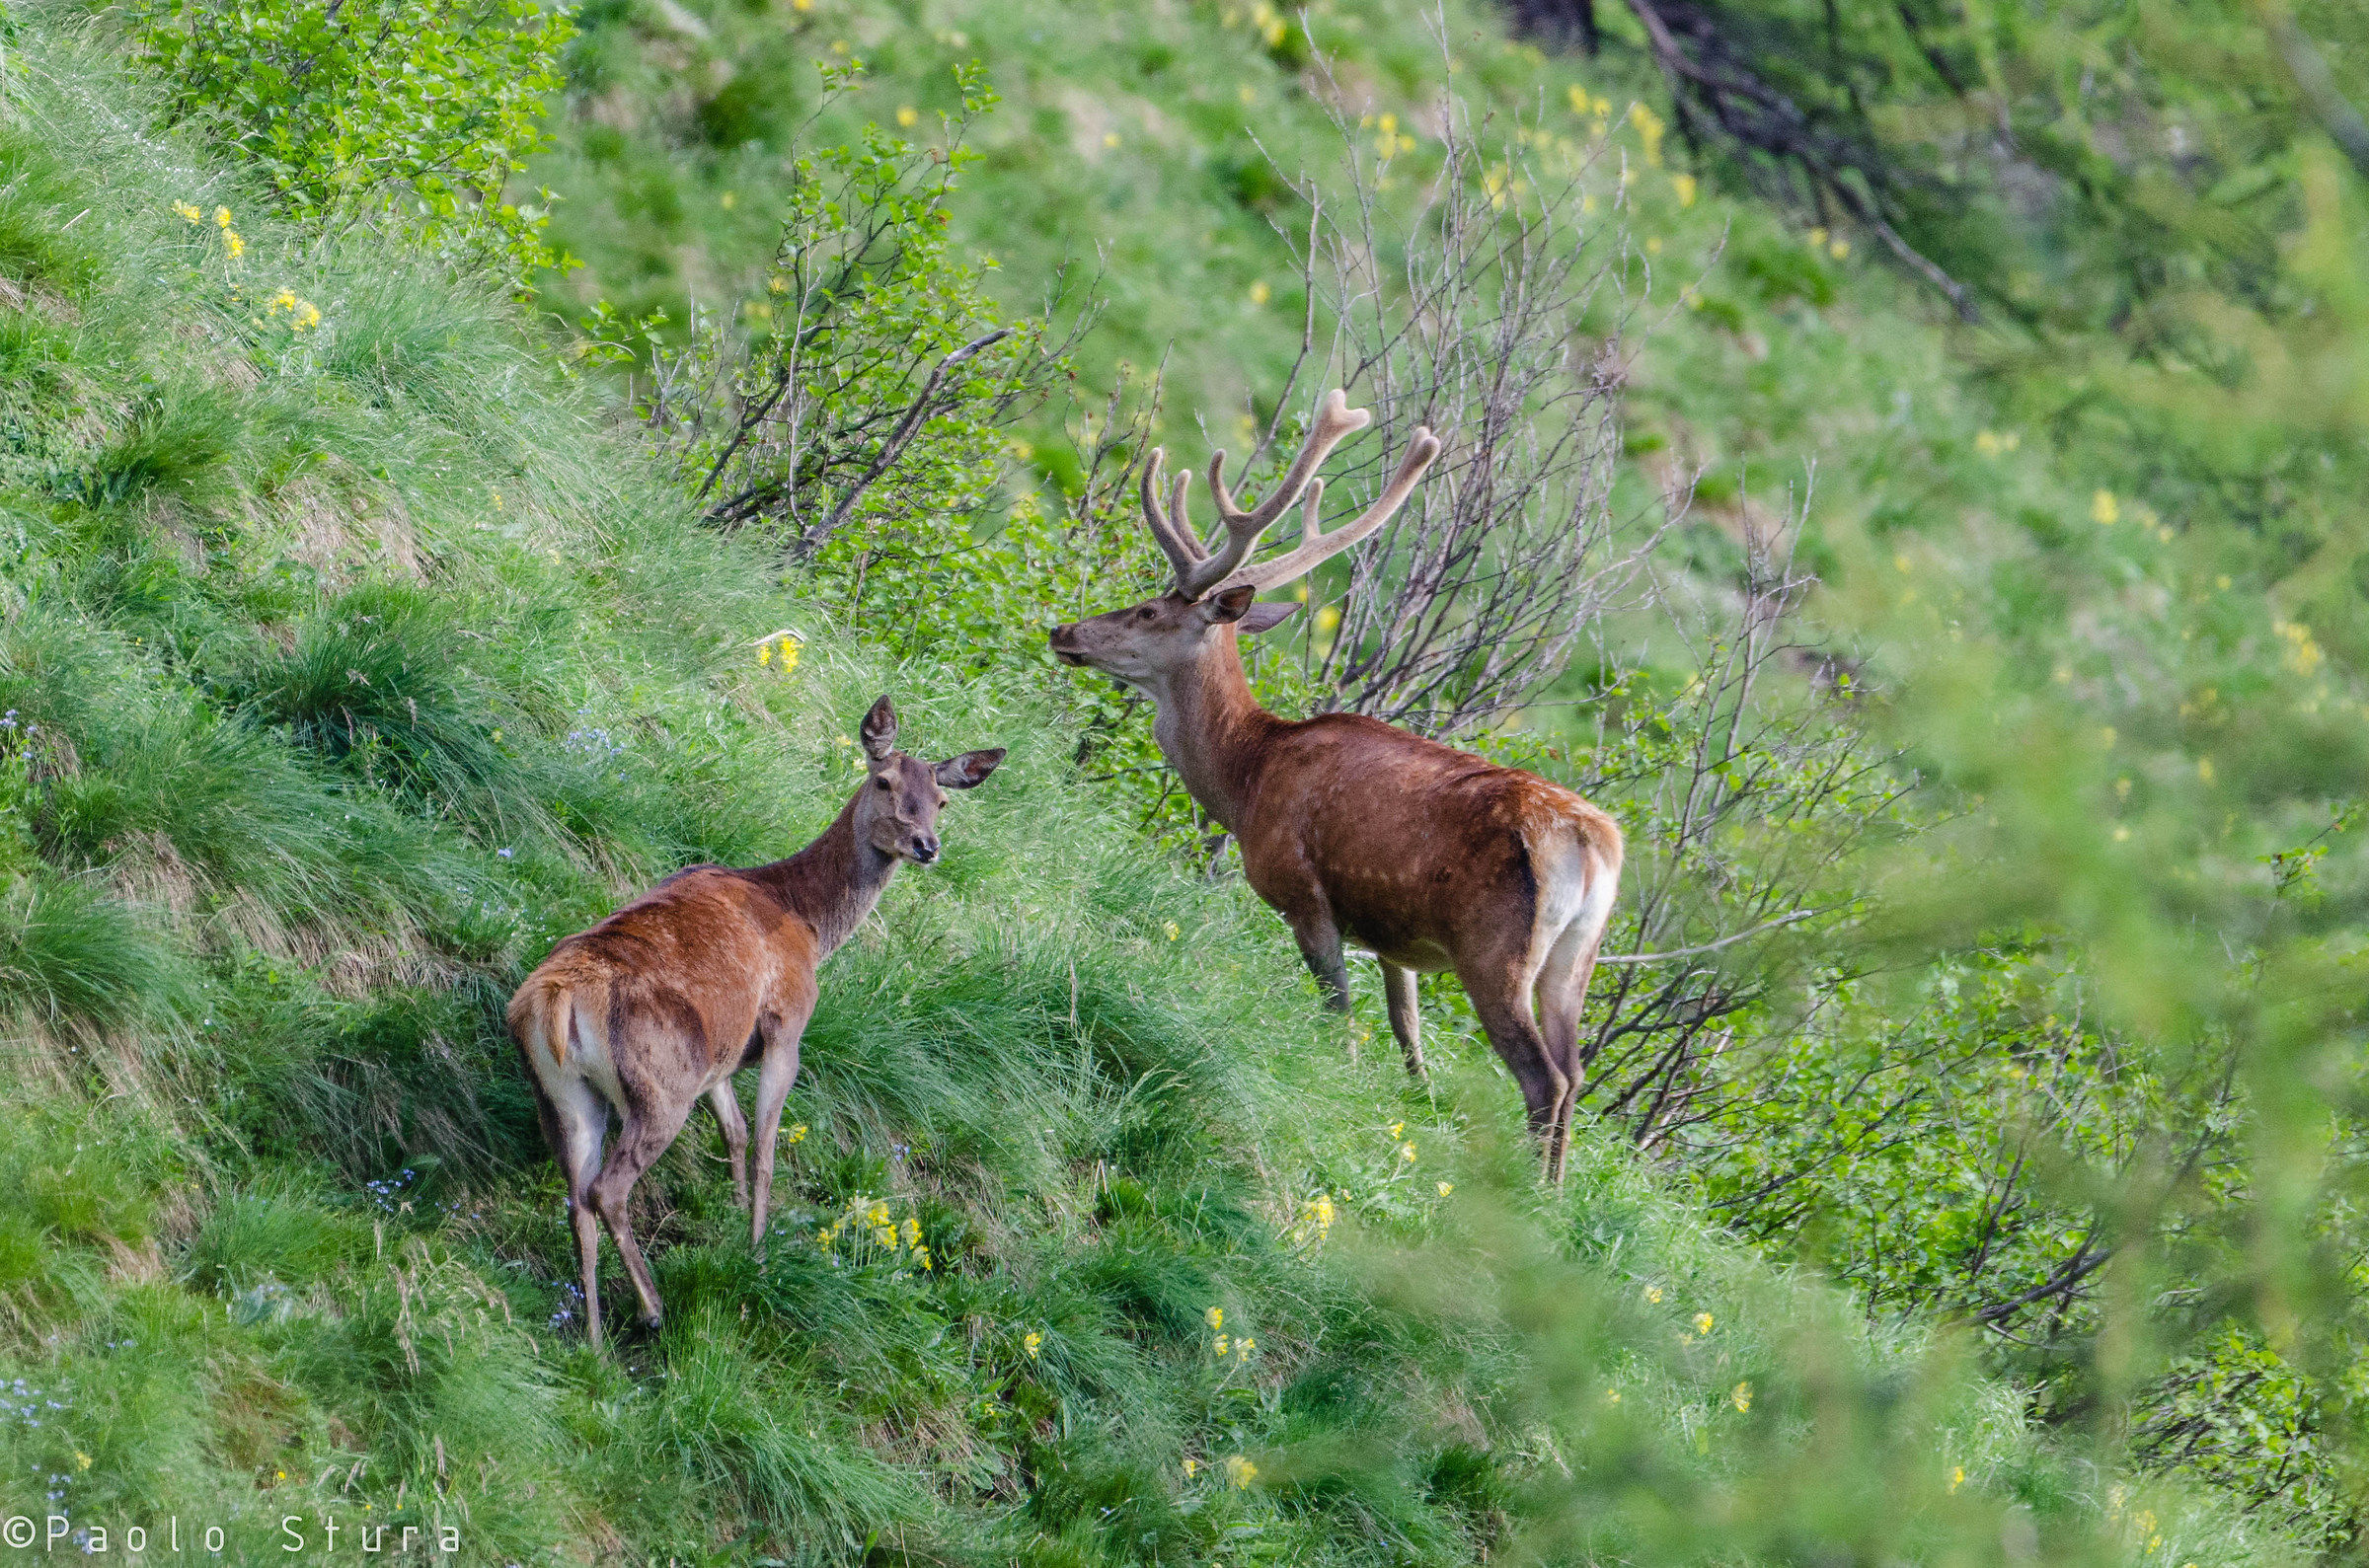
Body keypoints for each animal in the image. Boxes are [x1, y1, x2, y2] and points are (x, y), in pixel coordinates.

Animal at [507, 696, 1004, 1346]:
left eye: (942, 799)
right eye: (884, 781)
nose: (926, 844)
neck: (811, 927)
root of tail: (553, 1003)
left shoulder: (719, 1057)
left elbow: (735, 1132)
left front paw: (734, 1216)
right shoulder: (787, 1022)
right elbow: (767, 1145)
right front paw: (758, 1254)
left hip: (563, 1094)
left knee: (576, 1199)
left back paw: (592, 1339)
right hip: (659, 1086)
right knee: (604, 1191)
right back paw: (652, 1306)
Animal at [1048, 390, 1623, 1183]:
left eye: (1146, 610)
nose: (1063, 631)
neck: (1247, 778)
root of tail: (1590, 843)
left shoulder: (1304, 891)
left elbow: (1340, 1023)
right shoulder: (1393, 938)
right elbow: (1408, 1039)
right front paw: (1410, 1113)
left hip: (1494, 951)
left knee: (1546, 1077)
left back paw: (1532, 1191)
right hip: (1577, 957)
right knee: (1576, 1070)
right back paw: (1558, 1192)